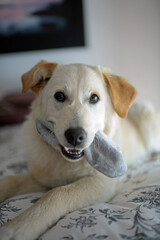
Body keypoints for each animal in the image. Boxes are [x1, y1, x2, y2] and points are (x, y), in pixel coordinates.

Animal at [0, 60, 160, 240]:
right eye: (59, 96)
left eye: (94, 98)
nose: (75, 136)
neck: (66, 163)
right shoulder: (42, 178)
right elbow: (10, 181)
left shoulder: (101, 183)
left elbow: (57, 193)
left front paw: (18, 227)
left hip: (147, 119)